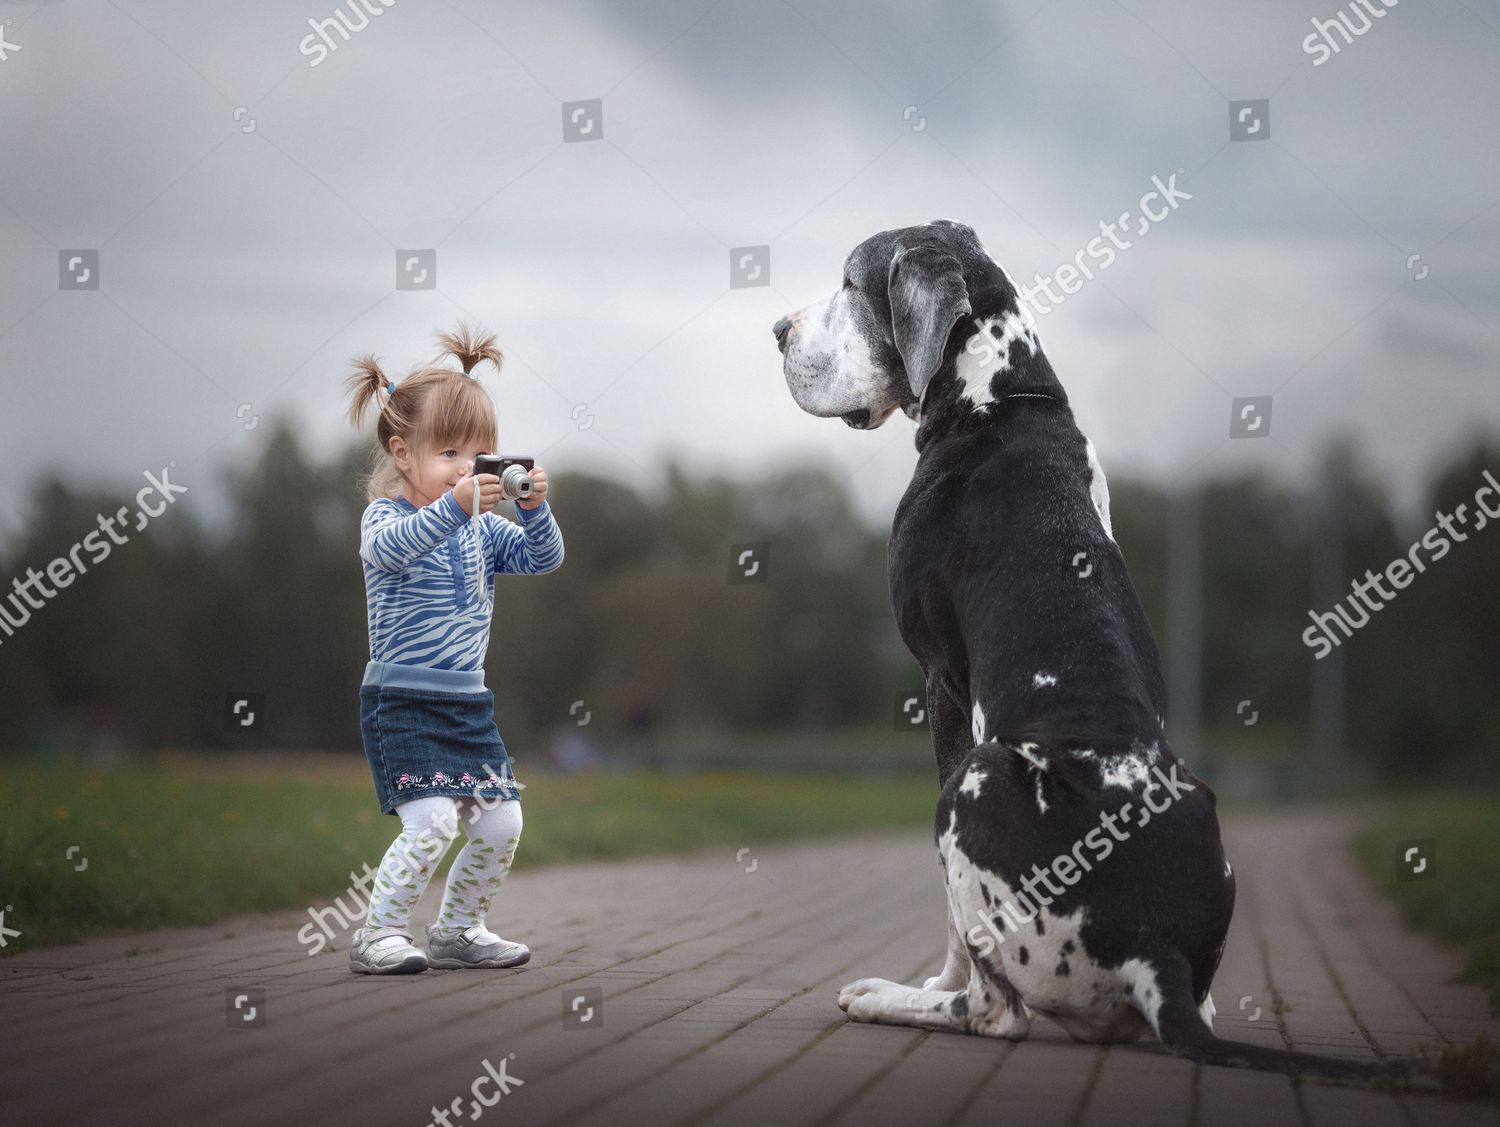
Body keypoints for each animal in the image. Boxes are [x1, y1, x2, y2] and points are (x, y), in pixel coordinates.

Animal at [780, 222, 1410, 1086]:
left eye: (850, 281)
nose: (777, 331)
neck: (999, 399)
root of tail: (1157, 955)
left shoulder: (943, 685)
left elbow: (952, 924)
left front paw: (929, 980)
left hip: (977, 781)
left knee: (997, 1010)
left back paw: (888, 996)